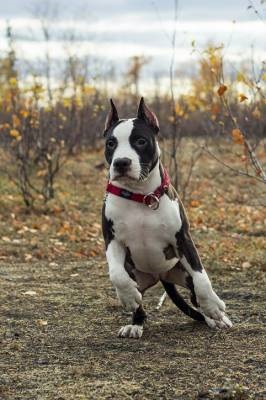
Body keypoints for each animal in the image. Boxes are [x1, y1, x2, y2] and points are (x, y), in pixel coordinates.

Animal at [102, 97, 233, 338]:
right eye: (111, 144)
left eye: (141, 141)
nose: (121, 162)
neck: (141, 195)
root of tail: (161, 277)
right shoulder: (112, 240)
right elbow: (116, 273)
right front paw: (127, 296)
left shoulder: (183, 238)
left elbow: (201, 276)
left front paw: (213, 305)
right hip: (137, 276)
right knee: (139, 302)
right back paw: (135, 323)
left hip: (183, 274)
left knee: (196, 294)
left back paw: (215, 319)